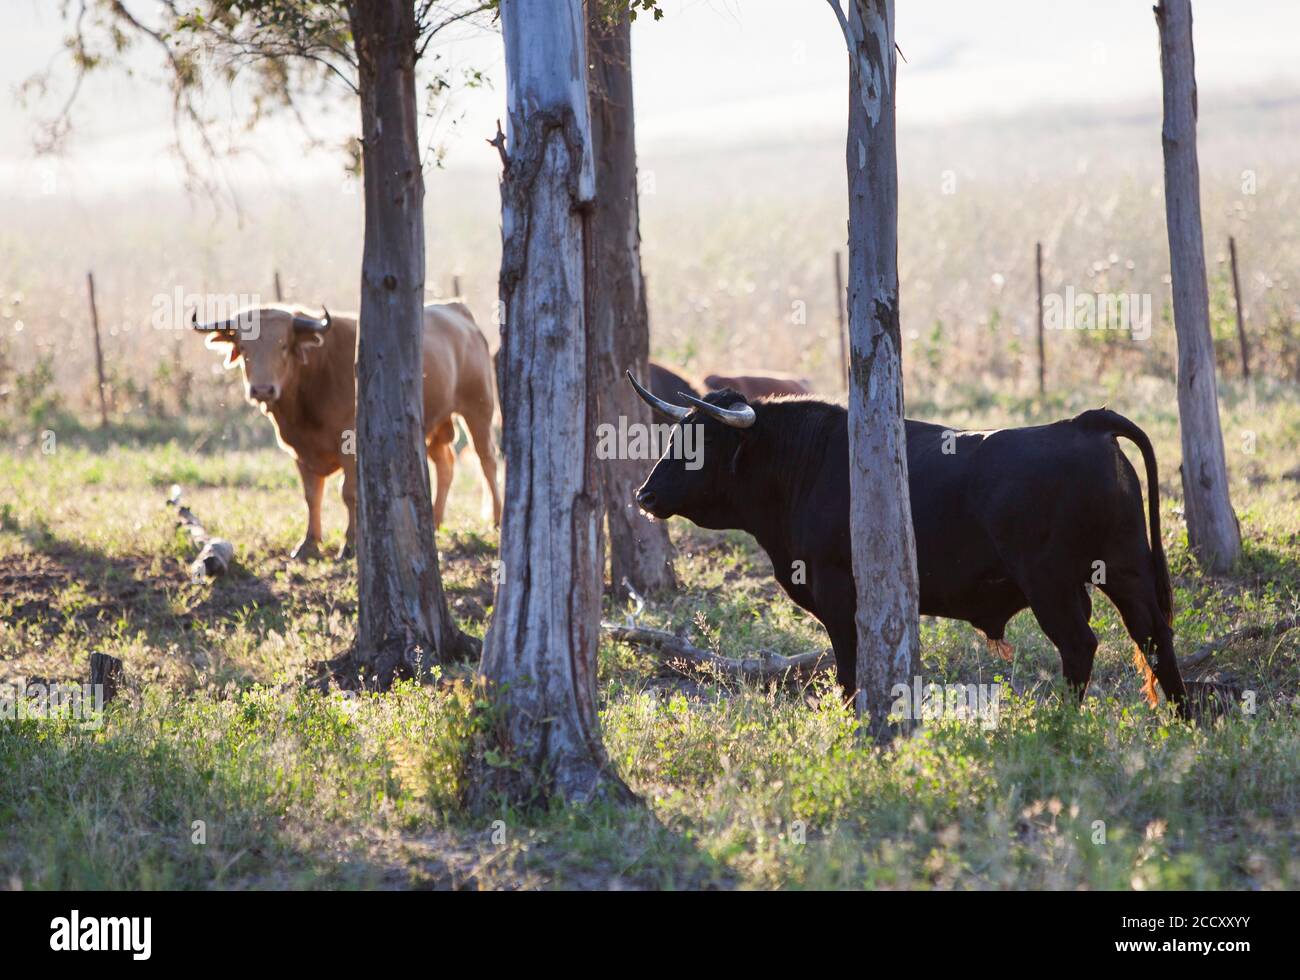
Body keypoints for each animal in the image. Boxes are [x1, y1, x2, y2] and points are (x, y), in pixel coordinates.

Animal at [193, 297, 501, 556]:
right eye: (244, 349)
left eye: (283, 345)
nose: (262, 389)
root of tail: (456, 310)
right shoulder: (300, 451)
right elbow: (312, 495)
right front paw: (309, 542)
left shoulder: (350, 448)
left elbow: (349, 493)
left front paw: (350, 544)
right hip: (437, 425)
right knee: (446, 464)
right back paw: (435, 521)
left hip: (478, 411)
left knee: (487, 461)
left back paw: (497, 519)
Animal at [629, 382, 1190, 717]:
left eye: (701, 443)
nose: (644, 496)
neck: (809, 463)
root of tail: (1083, 423)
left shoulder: (840, 596)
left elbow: (849, 671)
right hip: (1125, 568)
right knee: (1154, 637)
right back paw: (1183, 718)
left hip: (1051, 584)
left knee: (1080, 646)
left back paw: (1063, 723)